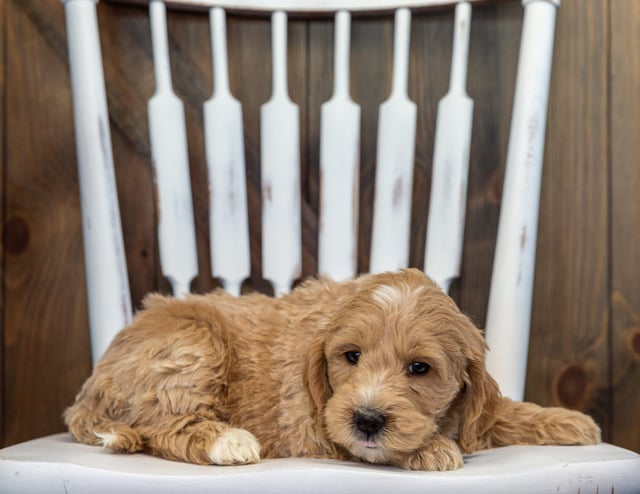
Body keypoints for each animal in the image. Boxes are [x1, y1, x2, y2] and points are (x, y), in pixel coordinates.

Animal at [65, 268, 600, 468]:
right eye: (352, 356)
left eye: (419, 368)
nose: (367, 419)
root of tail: (89, 389)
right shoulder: (313, 425)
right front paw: (431, 449)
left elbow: (498, 413)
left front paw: (568, 421)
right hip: (193, 345)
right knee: (163, 424)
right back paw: (228, 441)